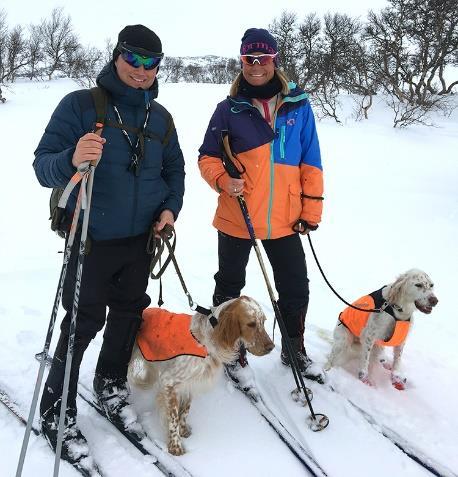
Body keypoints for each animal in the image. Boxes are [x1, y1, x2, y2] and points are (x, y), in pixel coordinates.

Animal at [127, 296, 274, 456]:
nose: (271, 347)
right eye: (251, 324)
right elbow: (173, 417)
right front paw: (175, 447)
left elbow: (185, 410)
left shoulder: (192, 382)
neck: (208, 339)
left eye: (263, 322)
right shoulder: (169, 382)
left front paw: (183, 430)